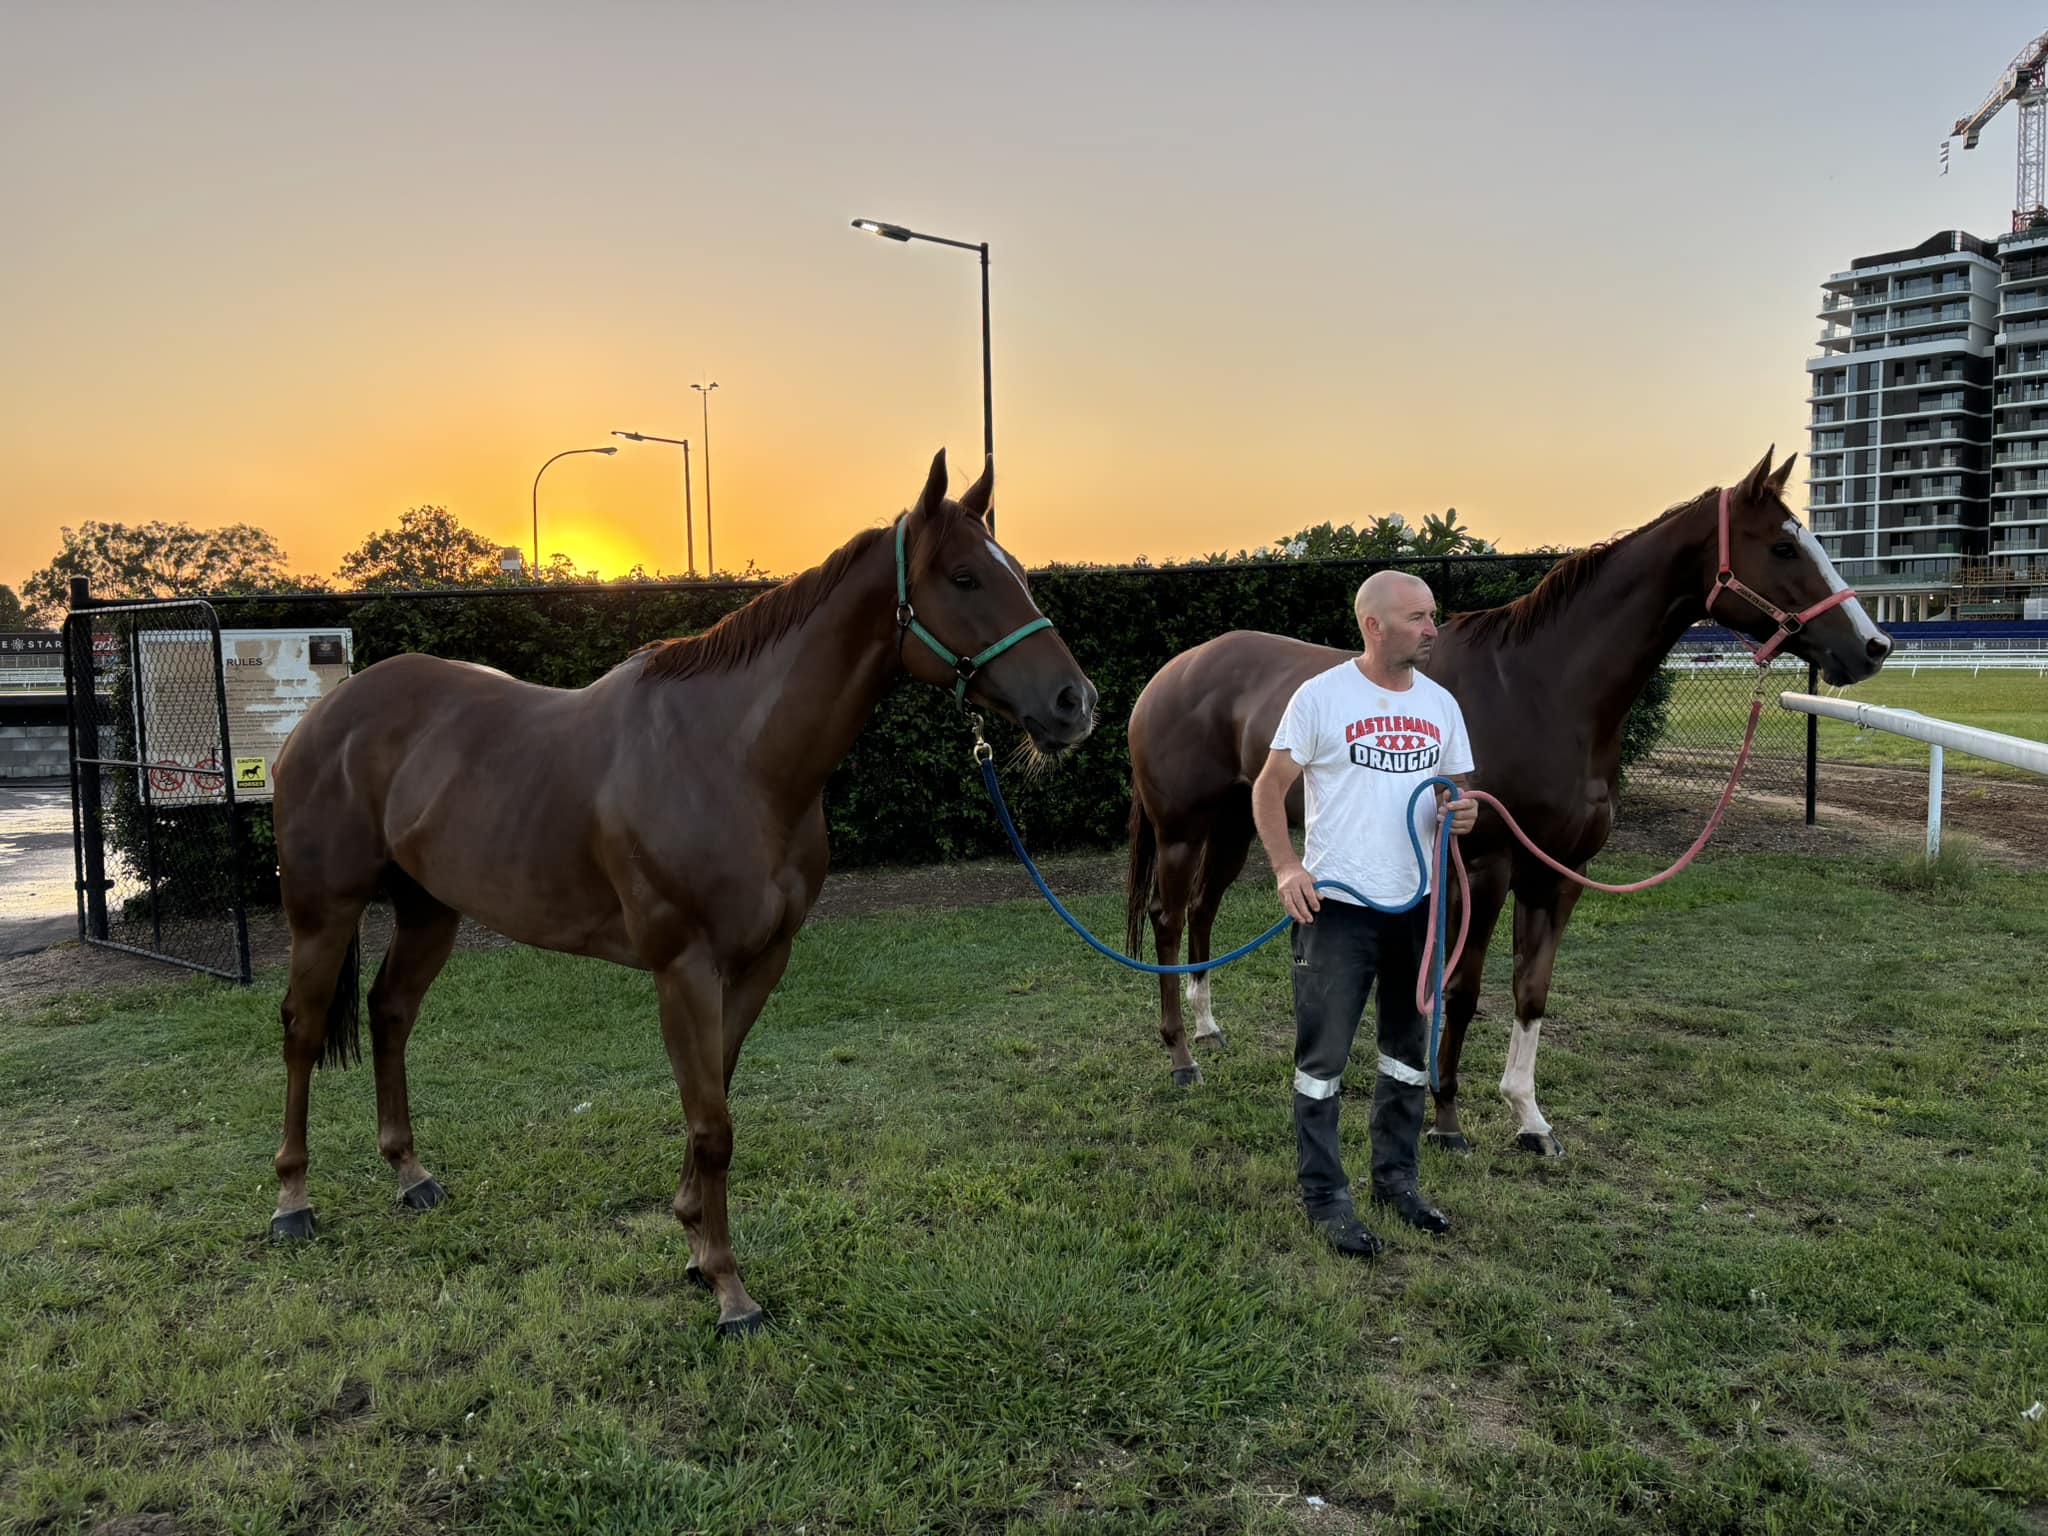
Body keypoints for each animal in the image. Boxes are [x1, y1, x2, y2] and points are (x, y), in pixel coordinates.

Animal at [267, 451, 1097, 1335]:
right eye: (966, 576)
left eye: (1017, 572)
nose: (1075, 703)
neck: (733, 757)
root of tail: (323, 716)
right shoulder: (684, 969)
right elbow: (713, 1123)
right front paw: (731, 1291)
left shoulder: (762, 962)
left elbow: (716, 1102)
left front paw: (696, 1243)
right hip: (323, 913)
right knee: (303, 1032)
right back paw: (292, 1202)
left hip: (430, 911)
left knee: (390, 1014)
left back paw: (409, 1175)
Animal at [1122, 449, 1890, 1155]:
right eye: (1784, 545)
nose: (1873, 647)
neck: (1541, 691)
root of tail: (1172, 672)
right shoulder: (1485, 865)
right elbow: (1462, 992)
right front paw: (1447, 1120)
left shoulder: (1559, 872)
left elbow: (1531, 991)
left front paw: (1529, 1119)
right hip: (1182, 831)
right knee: (1168, 917)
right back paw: (1181, 1057)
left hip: (1236, 827)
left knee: (1203, 912)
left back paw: (1209, 1031)